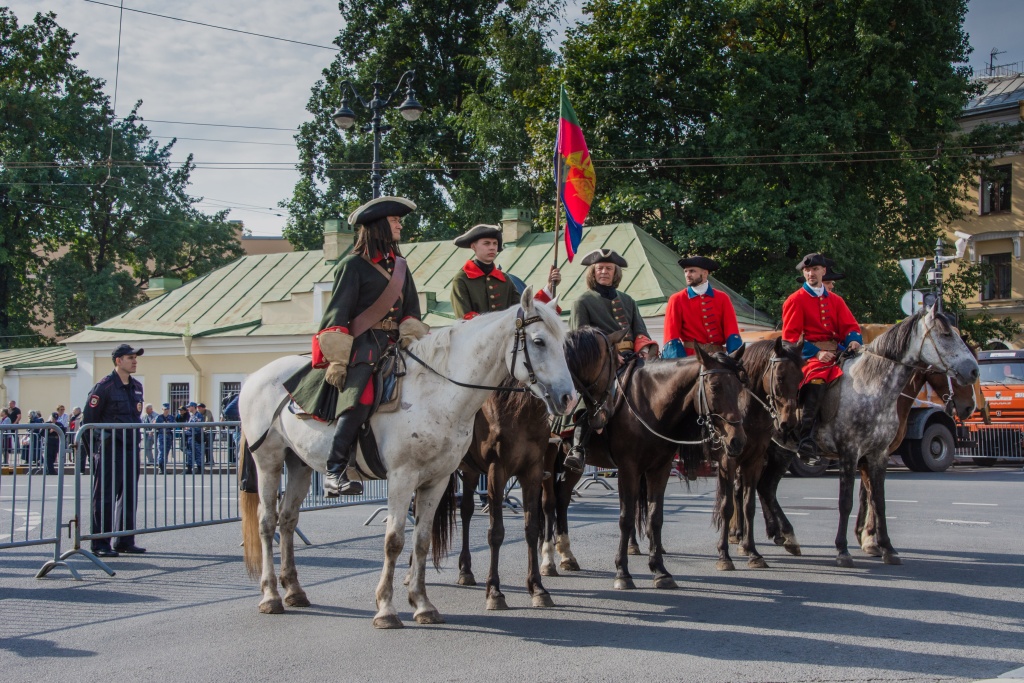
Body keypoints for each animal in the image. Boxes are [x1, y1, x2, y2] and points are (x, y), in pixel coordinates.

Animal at [238, 288, 577, 630]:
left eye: (564, 344)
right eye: (538, 341)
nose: (568, 398)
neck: (437, 392)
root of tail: (256, 376)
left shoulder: (438, 479)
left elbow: (423, 539)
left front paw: (423, 604)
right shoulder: (403, 477)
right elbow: (394, 540)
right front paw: (387, 609)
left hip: (300, 465)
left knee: (287, 520)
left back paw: (294, 590)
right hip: (268, 461)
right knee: (267, 521)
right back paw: (271, 596)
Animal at [454, 327, 614, 610]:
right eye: (614, 365)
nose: (602, 415)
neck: (517, 406)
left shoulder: (533, 470)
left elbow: (532, 525)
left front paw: (538, 587)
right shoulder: (497, 472)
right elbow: (496, 532)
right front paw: (494, 591)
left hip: (471, 471)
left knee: (465, 511)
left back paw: (466, 569)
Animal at [540, 350, 749, 589]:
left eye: (740, 386)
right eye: (714, 386)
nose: (737, 441)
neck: (650, 403)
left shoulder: (660, 468)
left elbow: (655, 517)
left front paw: (660, 571)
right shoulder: (628, 468)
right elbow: (626, 518)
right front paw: (622, 572)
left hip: (572, 465)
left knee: (563, 497)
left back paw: (567, 556)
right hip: (547, 455)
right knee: (549, 503)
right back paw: (548, 561)